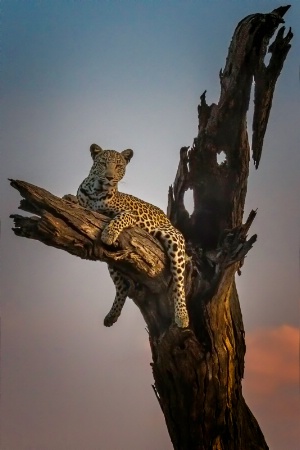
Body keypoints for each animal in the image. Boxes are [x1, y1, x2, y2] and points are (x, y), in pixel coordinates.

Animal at [77, 142, 190, 328]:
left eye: (118, 166)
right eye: (103, 164)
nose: (109, 177)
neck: (95, 191)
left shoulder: (133, 215)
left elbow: (121, 217)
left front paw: (109, 233)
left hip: (174, 240)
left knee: (178, 282)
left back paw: (182, 316)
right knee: (122, 286)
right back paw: (112, 315)